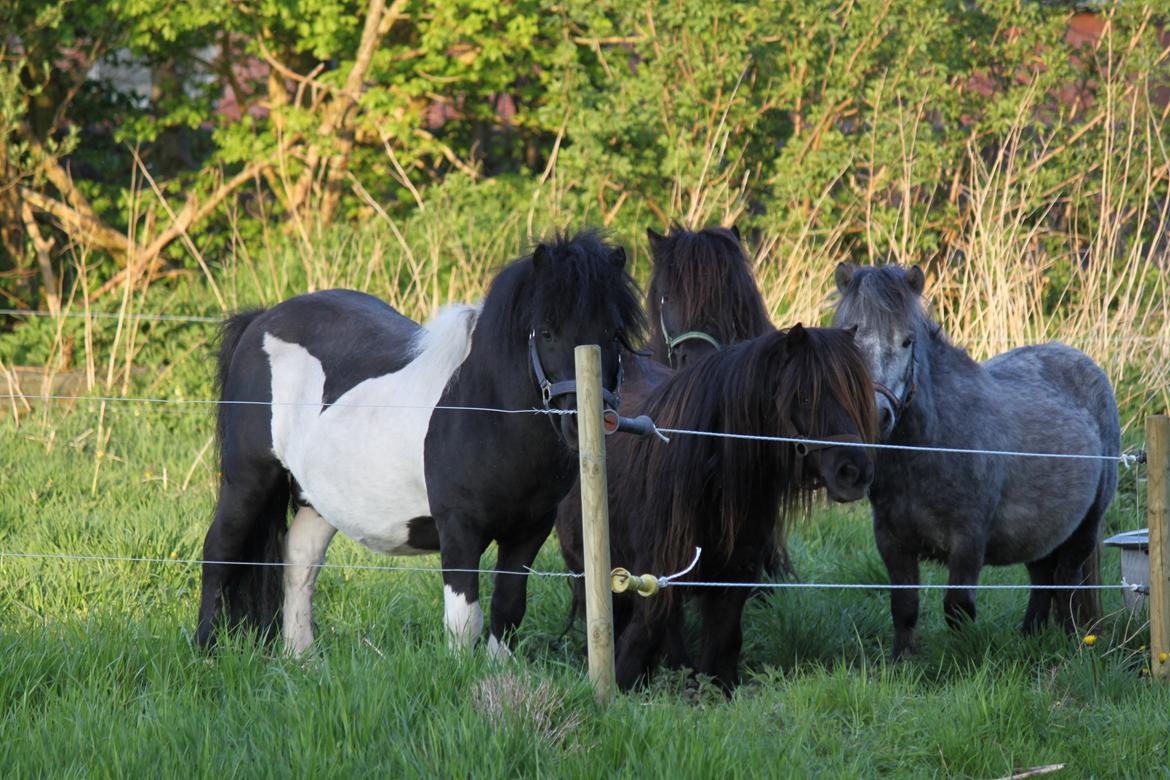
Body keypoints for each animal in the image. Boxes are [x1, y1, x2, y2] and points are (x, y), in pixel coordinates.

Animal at [196, 231, 645, 659]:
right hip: (248, 480)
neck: (485, 412)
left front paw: (498, 678)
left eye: (614, 334)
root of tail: (260, 319)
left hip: (317, 498)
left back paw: (301, 657)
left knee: (300, 560)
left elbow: (508, 609)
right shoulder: (460, 529)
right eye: (548, 331)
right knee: (219, 551)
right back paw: (206, 650)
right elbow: (464, 621)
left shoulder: (528, 532)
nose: (583, 421)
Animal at [559, 327, 879, 692]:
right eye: (804, 396)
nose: (854, 473)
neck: (711, 480)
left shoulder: (736, 573)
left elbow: (723, 639)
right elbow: (646, 631)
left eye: (854, 395)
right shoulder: (655, 572)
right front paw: (622, 685)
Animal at [837, 264, 1118, 659]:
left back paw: (1072, 643)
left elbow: (957, 609)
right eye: (853, 340)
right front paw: (902, 661)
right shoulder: (892, 542)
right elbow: (904, 607)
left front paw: (963, 658)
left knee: (1065, 581)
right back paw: (1030, 637)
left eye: (907, 341)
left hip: (1087, 525)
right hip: (1040, 531)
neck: (931, 447)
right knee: (1042, 580)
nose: (877, 417)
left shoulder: (968, 542)